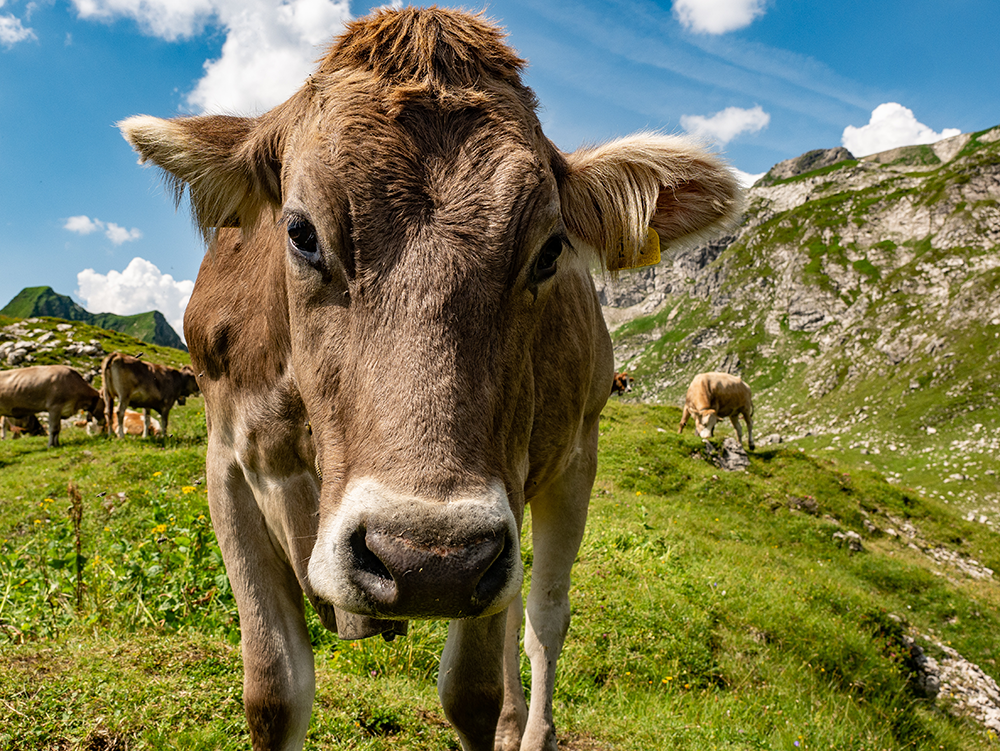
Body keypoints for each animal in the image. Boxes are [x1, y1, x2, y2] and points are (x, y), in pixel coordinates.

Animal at [117, 7, 744, 751]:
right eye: (299, 232)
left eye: (550, 250)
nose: (427, 560)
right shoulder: (228, 464)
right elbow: (273, 693)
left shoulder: (504, 488)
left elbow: (470, 694)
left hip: (572, 459)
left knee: (542, 616)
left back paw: (531, 727)